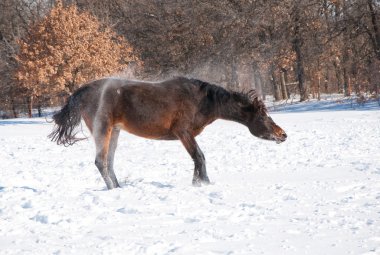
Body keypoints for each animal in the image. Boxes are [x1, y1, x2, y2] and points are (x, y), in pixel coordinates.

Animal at [48, 76, 284, 190]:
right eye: (264, 116)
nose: (283, 134)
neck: (201, 101)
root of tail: (83, 91)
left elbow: (197, 159)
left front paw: (198, 182)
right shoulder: (183, 133)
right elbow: (200, 157)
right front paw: (204, 183)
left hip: (114, 132)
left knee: (109, 163)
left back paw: (118, 188)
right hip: (103, 130)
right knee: (101, 162)